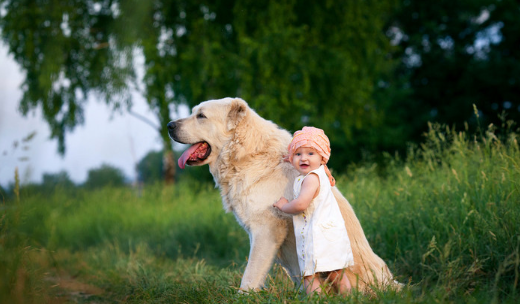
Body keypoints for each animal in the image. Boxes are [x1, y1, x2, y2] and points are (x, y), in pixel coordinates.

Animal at [167, 97, 398, 292]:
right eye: (193, 112)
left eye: (201, 116)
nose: (169, 125)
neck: (246, 154)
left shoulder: (266, 230)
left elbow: (251, 274)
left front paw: (243, 296)